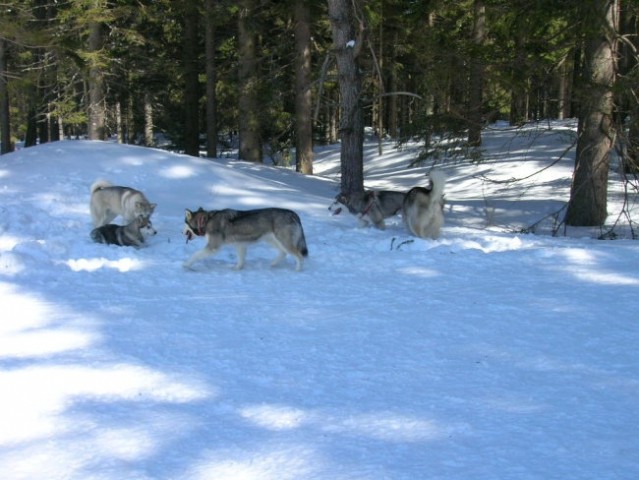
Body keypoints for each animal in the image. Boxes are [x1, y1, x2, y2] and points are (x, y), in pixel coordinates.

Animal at [182, 207, 310, 272]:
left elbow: (195, 255)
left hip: (284, 241)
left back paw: (298, 269)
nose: (181, 232)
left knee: (299, 256)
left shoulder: (213, 247)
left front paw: (186, 264)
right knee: (283, 253)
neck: (207, 220)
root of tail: (294, 214)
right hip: (273, 240)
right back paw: (273, 264)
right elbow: (241, 260)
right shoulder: (240, 244)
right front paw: (237, 268)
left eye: (185, 224)